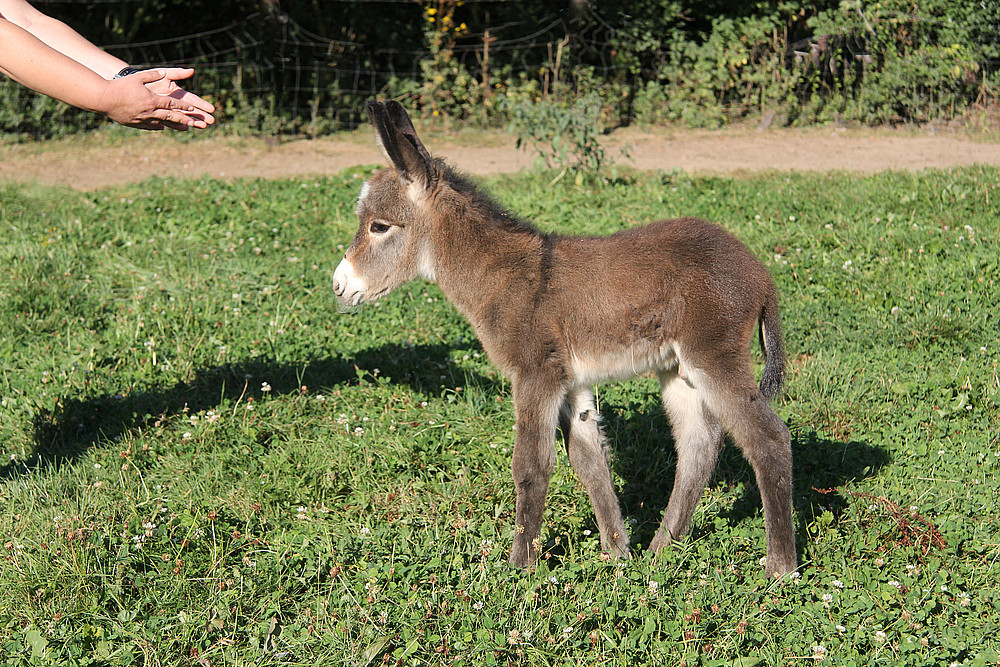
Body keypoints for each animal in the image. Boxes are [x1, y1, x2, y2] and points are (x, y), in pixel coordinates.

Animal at [336, 100, 796, 580]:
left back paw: (780, 569)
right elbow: (589, 462)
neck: (508, 277)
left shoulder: (534, 373)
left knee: (769, 441)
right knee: (698, 448)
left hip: (713, 356)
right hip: (678, 368)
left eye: (379, 226)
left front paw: (520, 567)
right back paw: (660, 551)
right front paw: (617, 553)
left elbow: (531, 466)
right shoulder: (571, 380)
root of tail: (761, 274)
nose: (339, 286)